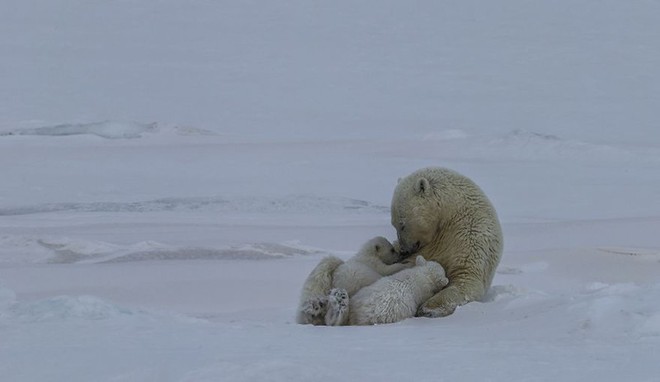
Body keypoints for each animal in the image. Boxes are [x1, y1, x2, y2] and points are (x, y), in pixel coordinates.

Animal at [390, 166, 502, 316]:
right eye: (394, 224)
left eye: (402, 224)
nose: (403, 250)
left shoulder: (469, 235)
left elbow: (465, 277)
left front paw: (428, 308)